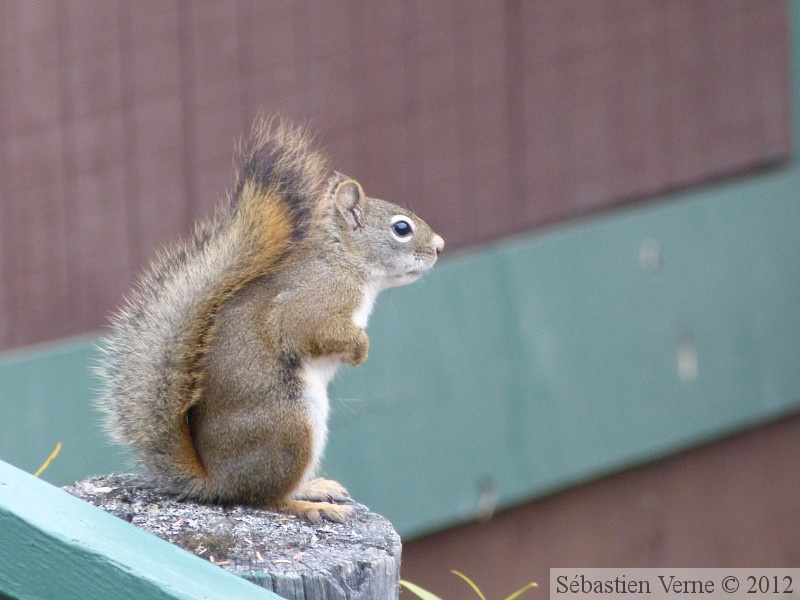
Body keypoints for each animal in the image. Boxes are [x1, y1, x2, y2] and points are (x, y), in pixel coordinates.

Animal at [95, 117, 444, 520]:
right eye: (401, 229)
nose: (439, 247)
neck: (345, 263)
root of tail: (218, 481)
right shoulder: (311, 304)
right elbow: (310, 332)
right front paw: (360, 349)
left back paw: (315, 487)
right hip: (290, 426)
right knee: (265, 498)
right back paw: (306, 505)